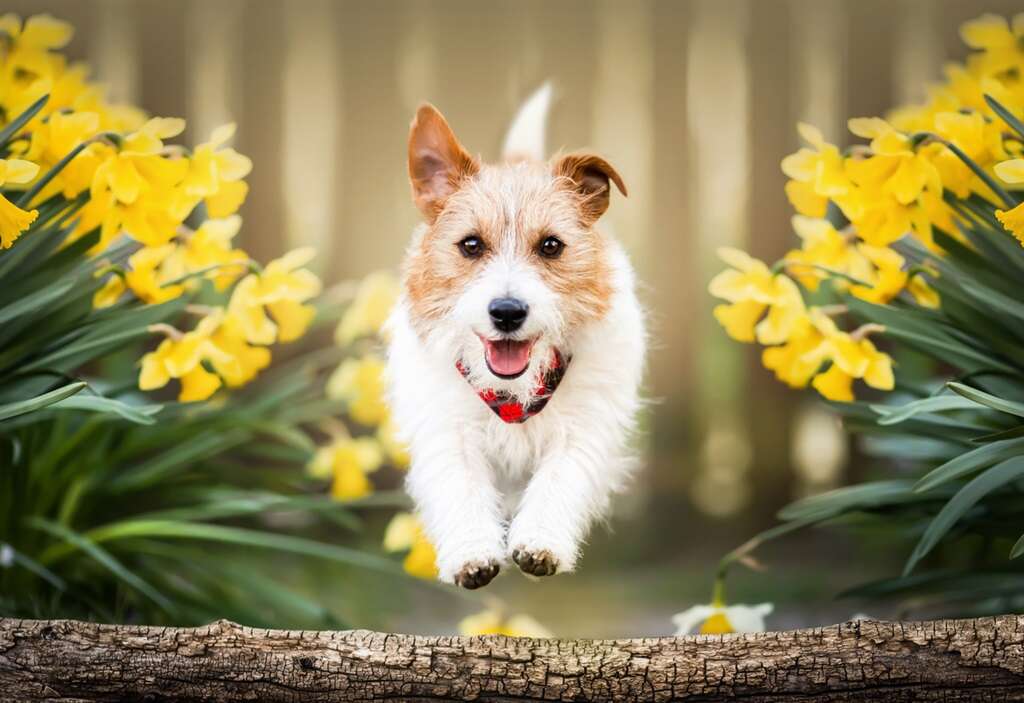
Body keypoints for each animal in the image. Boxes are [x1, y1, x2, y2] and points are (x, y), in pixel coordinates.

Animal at [387, 85, 643, 589]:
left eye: (551, 245)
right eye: (470, 245)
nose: (507, 312)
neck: (513, 396)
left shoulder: (583, 427)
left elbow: (560, 479)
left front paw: (541, 541)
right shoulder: (448, 430)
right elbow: (460, 485)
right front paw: (472, 552)